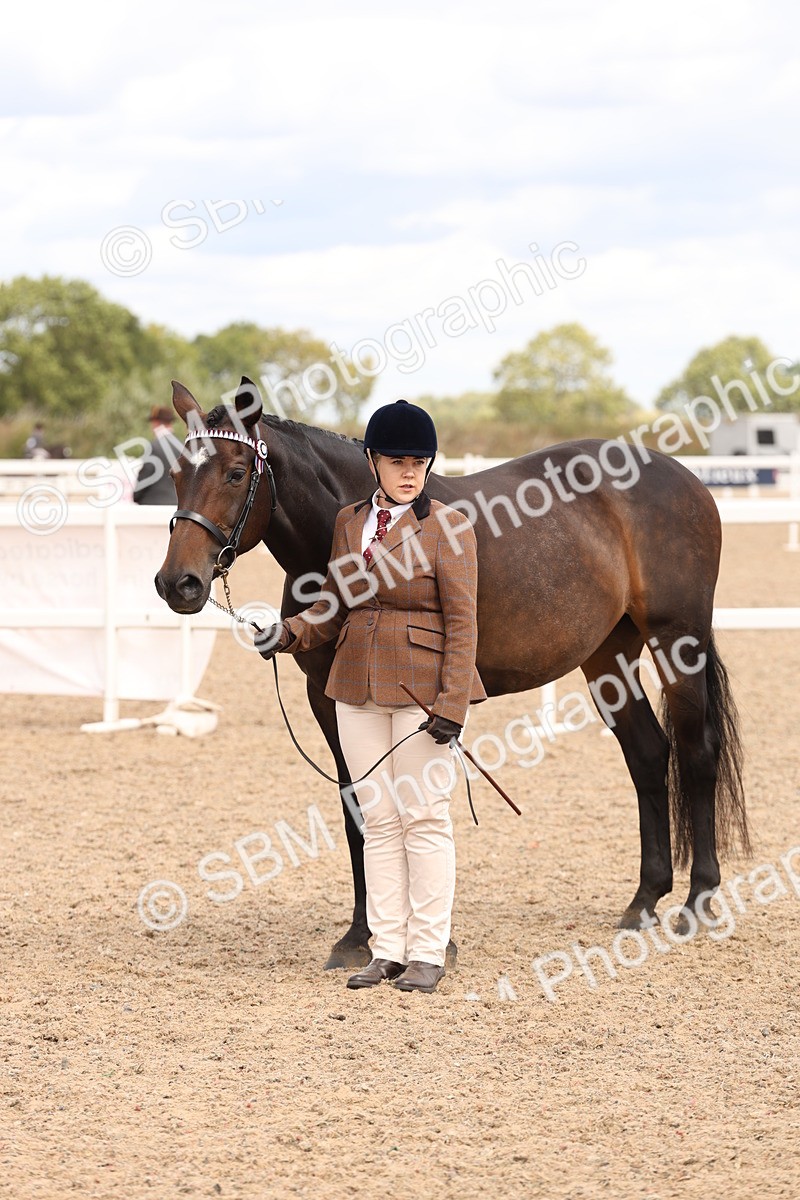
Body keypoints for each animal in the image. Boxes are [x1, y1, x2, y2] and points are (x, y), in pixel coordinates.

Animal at [155, 379, 749, 969]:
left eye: (236, 473)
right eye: (178, 474)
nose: (177, 583)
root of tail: (684, 479)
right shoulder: (329, 696)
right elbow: (358, 810)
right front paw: (360, 936)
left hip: (677, 642)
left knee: (697, 753)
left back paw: (697, 901)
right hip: (609, 655)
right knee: (647, 754)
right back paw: (644, 900)